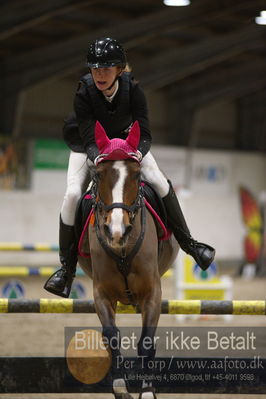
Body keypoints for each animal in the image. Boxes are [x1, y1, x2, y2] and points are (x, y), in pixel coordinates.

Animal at [78, 123, 180, 398]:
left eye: (136, 175)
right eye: (98, 175)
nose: (117, 231)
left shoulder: (152, 293)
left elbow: (146, 343)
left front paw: (146, 391)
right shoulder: (101, 293)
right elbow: (111, 336)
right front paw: (120, 387)